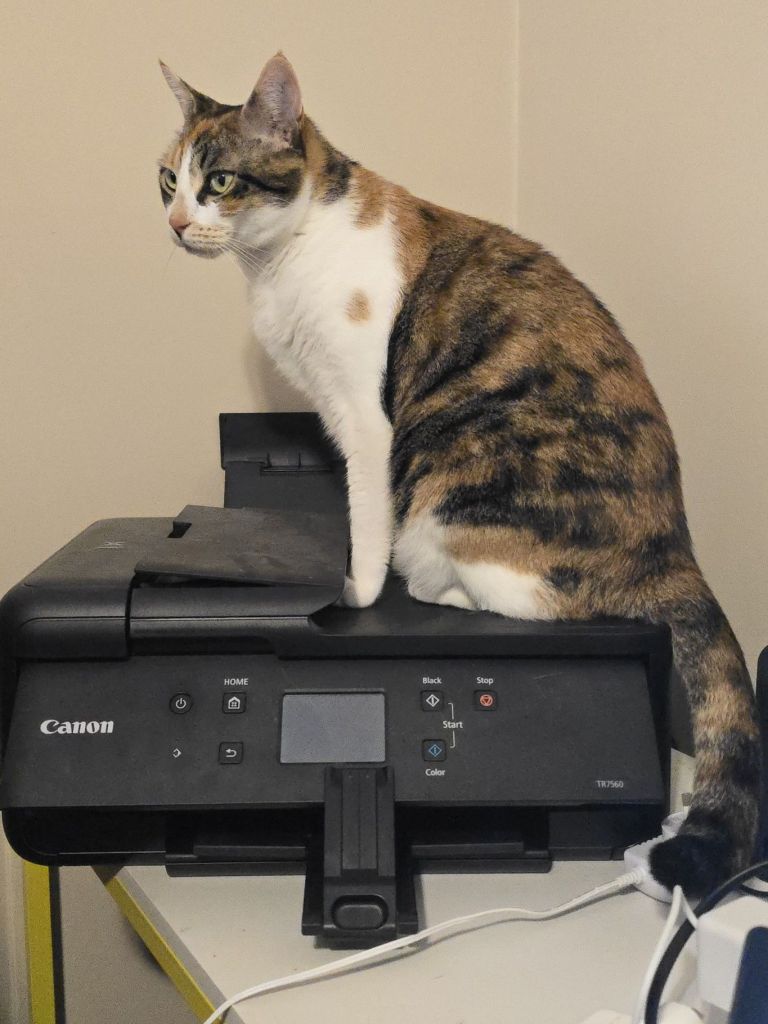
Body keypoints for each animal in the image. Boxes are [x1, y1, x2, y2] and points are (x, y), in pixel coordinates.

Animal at [158, 52, 761, 895]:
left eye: (218, 181)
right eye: (167, 180)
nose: (176, 224)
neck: (288, 251)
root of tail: (673, 546)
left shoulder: (364, 418)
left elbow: (367, 516)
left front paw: (354, 592)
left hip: (460, 487)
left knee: (534, 599)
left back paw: (431, 586)